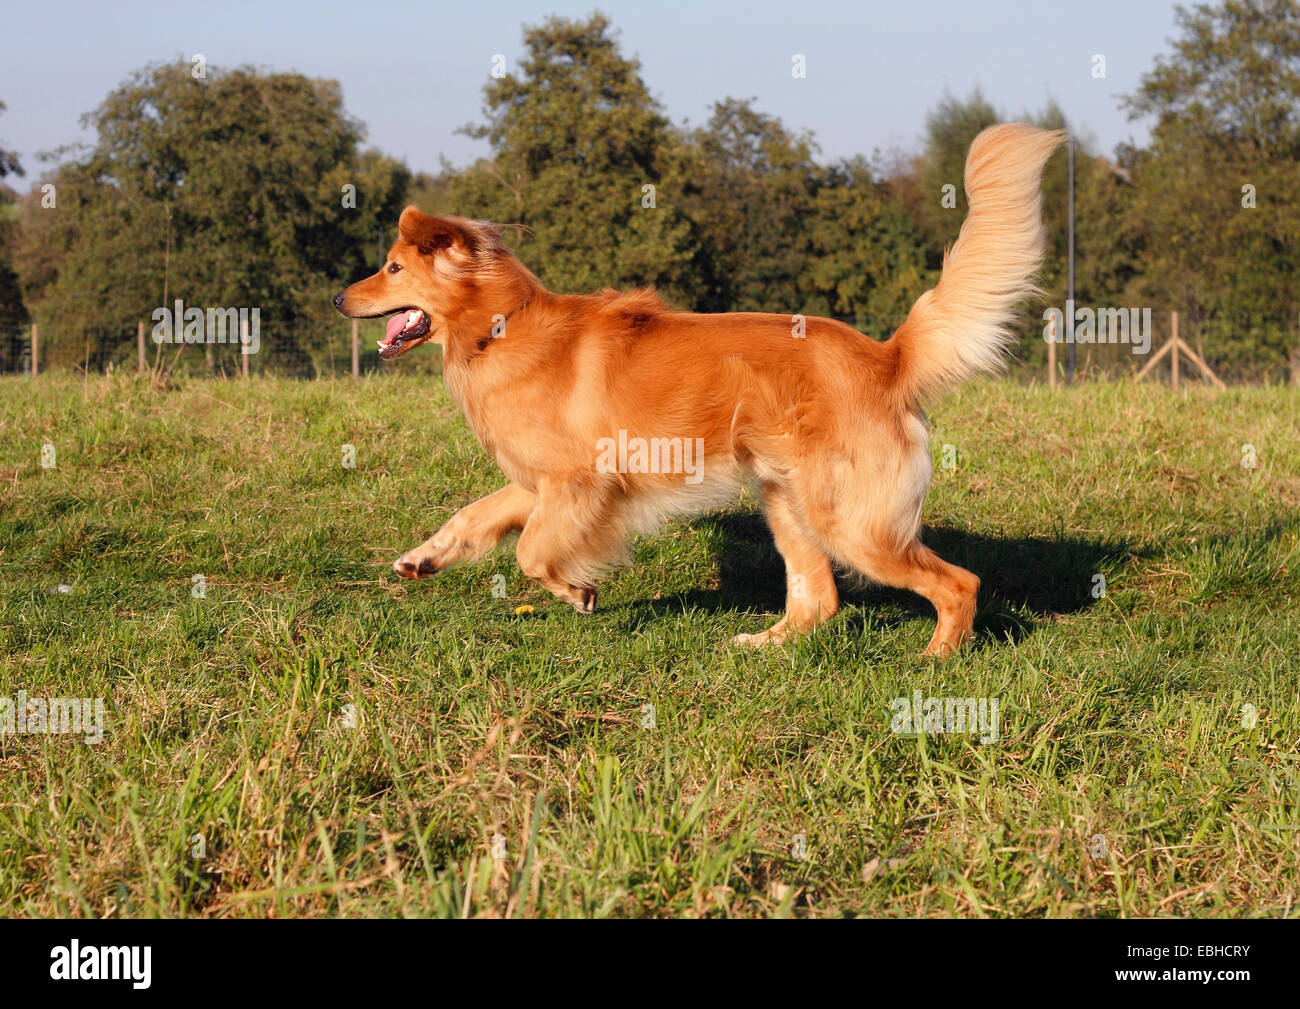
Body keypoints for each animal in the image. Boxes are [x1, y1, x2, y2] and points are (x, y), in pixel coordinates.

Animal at [330, 122, 1060, 655]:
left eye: (391, 268)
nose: (337, 298)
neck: (500, 328)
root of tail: (885, 355)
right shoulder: (540, 482)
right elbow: (472, 517)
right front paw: (422, 559)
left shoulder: (580, 482)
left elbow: (534, 552)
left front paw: (578, 592)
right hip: (788, 503)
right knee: (819, 600)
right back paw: (763, 645)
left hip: (849, 521)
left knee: (957, 583)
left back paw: (937, 659)